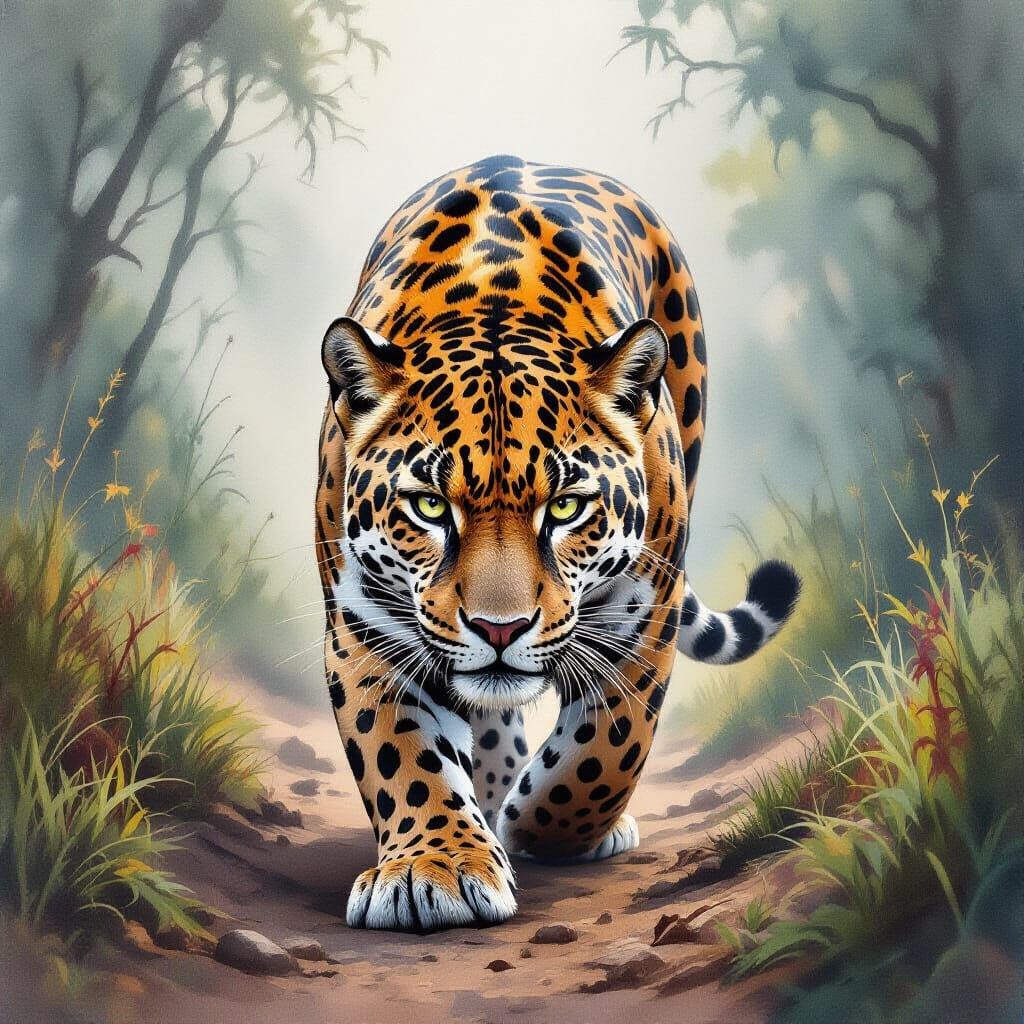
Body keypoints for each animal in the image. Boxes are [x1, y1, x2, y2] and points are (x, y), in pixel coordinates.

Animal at [314, 155, 799, 933]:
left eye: (567, 507)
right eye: (428, 506)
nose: (499, 629)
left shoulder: (647, 612)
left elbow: (606, 753)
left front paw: (539, 829)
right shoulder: (364, 624)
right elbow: (402, 755)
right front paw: (434, 870)